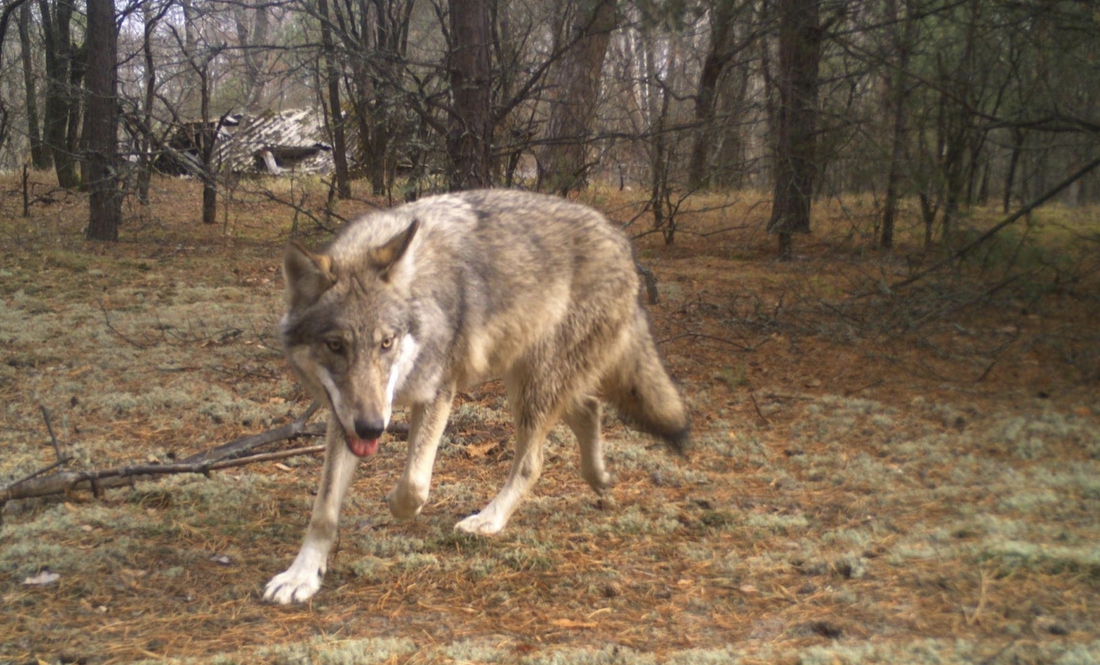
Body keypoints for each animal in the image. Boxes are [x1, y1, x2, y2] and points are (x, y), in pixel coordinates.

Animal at [262, 186, 686, 602]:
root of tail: (620, 240)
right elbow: (324, 509)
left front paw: (396, 507)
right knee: (589, 407)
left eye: (386, 342)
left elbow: (414, 484)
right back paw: (599, 479)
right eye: (335, 345)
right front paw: (301, 575)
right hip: (527, 378)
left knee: (533, 462)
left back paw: (489, 519)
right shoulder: (346, 417)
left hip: (531, 388)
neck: (420, 298)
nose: (371, 430)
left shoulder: (437, 392)